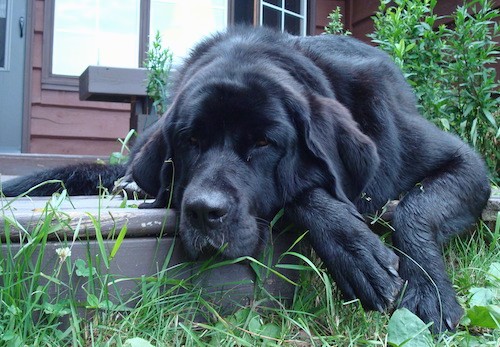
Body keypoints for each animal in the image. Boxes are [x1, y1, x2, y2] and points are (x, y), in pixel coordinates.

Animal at [1, 26, 490, 332]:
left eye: (263, 143)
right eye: (191, 140)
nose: (205, 211)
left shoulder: (466, 163)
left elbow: (415, 207)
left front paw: (430, 291)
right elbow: (304, 193)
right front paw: (355, 250)